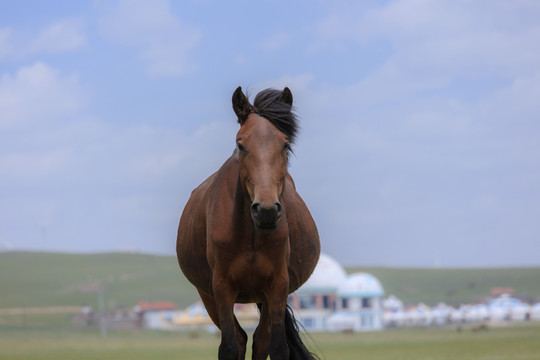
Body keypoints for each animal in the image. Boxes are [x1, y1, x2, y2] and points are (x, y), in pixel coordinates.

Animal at [177, 87, 320, 360]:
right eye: (240, 144)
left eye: (285, 144)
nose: (266, 210)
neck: (250, 234)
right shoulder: (221, 287)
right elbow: (229, 347)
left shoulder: (278, 285)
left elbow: (277, 346)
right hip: (209, 296)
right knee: (241, 338)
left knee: (261, 340)